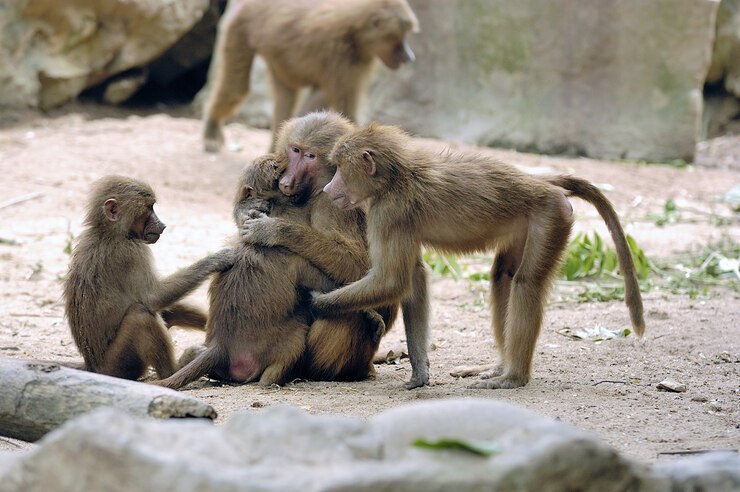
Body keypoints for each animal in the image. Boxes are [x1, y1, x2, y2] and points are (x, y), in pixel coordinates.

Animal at [63, 176, 236, 381]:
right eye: (149, 208)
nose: (163, 225)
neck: (108, 231)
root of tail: (91, 367)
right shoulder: (132, 252)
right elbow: (152, 297)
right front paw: (219, 259)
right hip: (117, 366)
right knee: (141, 315)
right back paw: (174, 371)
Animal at [154, 157, 386, 389]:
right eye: (277, 175)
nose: (288, 183)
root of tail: (221, 345)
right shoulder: (290, 257)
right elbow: (323, 281)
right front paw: (371, 314)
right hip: (280, 341)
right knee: (295, 334)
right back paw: (278, 378)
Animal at [202, 0, 419, 153]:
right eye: (400, 37)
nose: (410, 57)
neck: (355, 32)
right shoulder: (340, 58)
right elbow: (345, 111)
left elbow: (319, 101)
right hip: (240, 27)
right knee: (236, 87)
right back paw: (212, 132)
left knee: (287, 96)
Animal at [240, 111, 398, 381]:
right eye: (295, 150)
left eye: (310, 156)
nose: (286, 181)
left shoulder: (332, 203)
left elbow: (358, 265)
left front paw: (272, 230)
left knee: (347, 309)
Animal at [312, 122, 646, 390]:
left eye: (339, 168)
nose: (328, 189)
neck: (397, 177)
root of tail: (542, 183)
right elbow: (414, 277)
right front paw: (420, 374)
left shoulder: (386, 213)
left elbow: (393, 281)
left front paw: (316, 303)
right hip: (525, 222)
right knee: (502, 277)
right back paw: (499, 366)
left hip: (551, 215)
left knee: (525, 284)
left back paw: (513, 378)